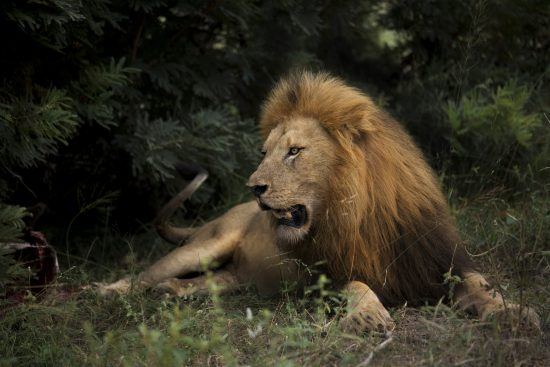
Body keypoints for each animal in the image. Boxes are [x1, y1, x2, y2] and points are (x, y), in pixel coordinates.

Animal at [97, 70, 540, 334]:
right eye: (265, 153)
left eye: (294, 151)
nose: (253, 187)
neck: (358, 214)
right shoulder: (323, 278)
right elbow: (356, 283)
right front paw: (367, 314)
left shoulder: (435, 262)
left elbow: (479, 285)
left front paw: (513, 311)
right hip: (205, 246)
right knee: (143, 275)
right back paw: (102, 290)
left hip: (233, 279)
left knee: (189, 284)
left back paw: (171, 294)